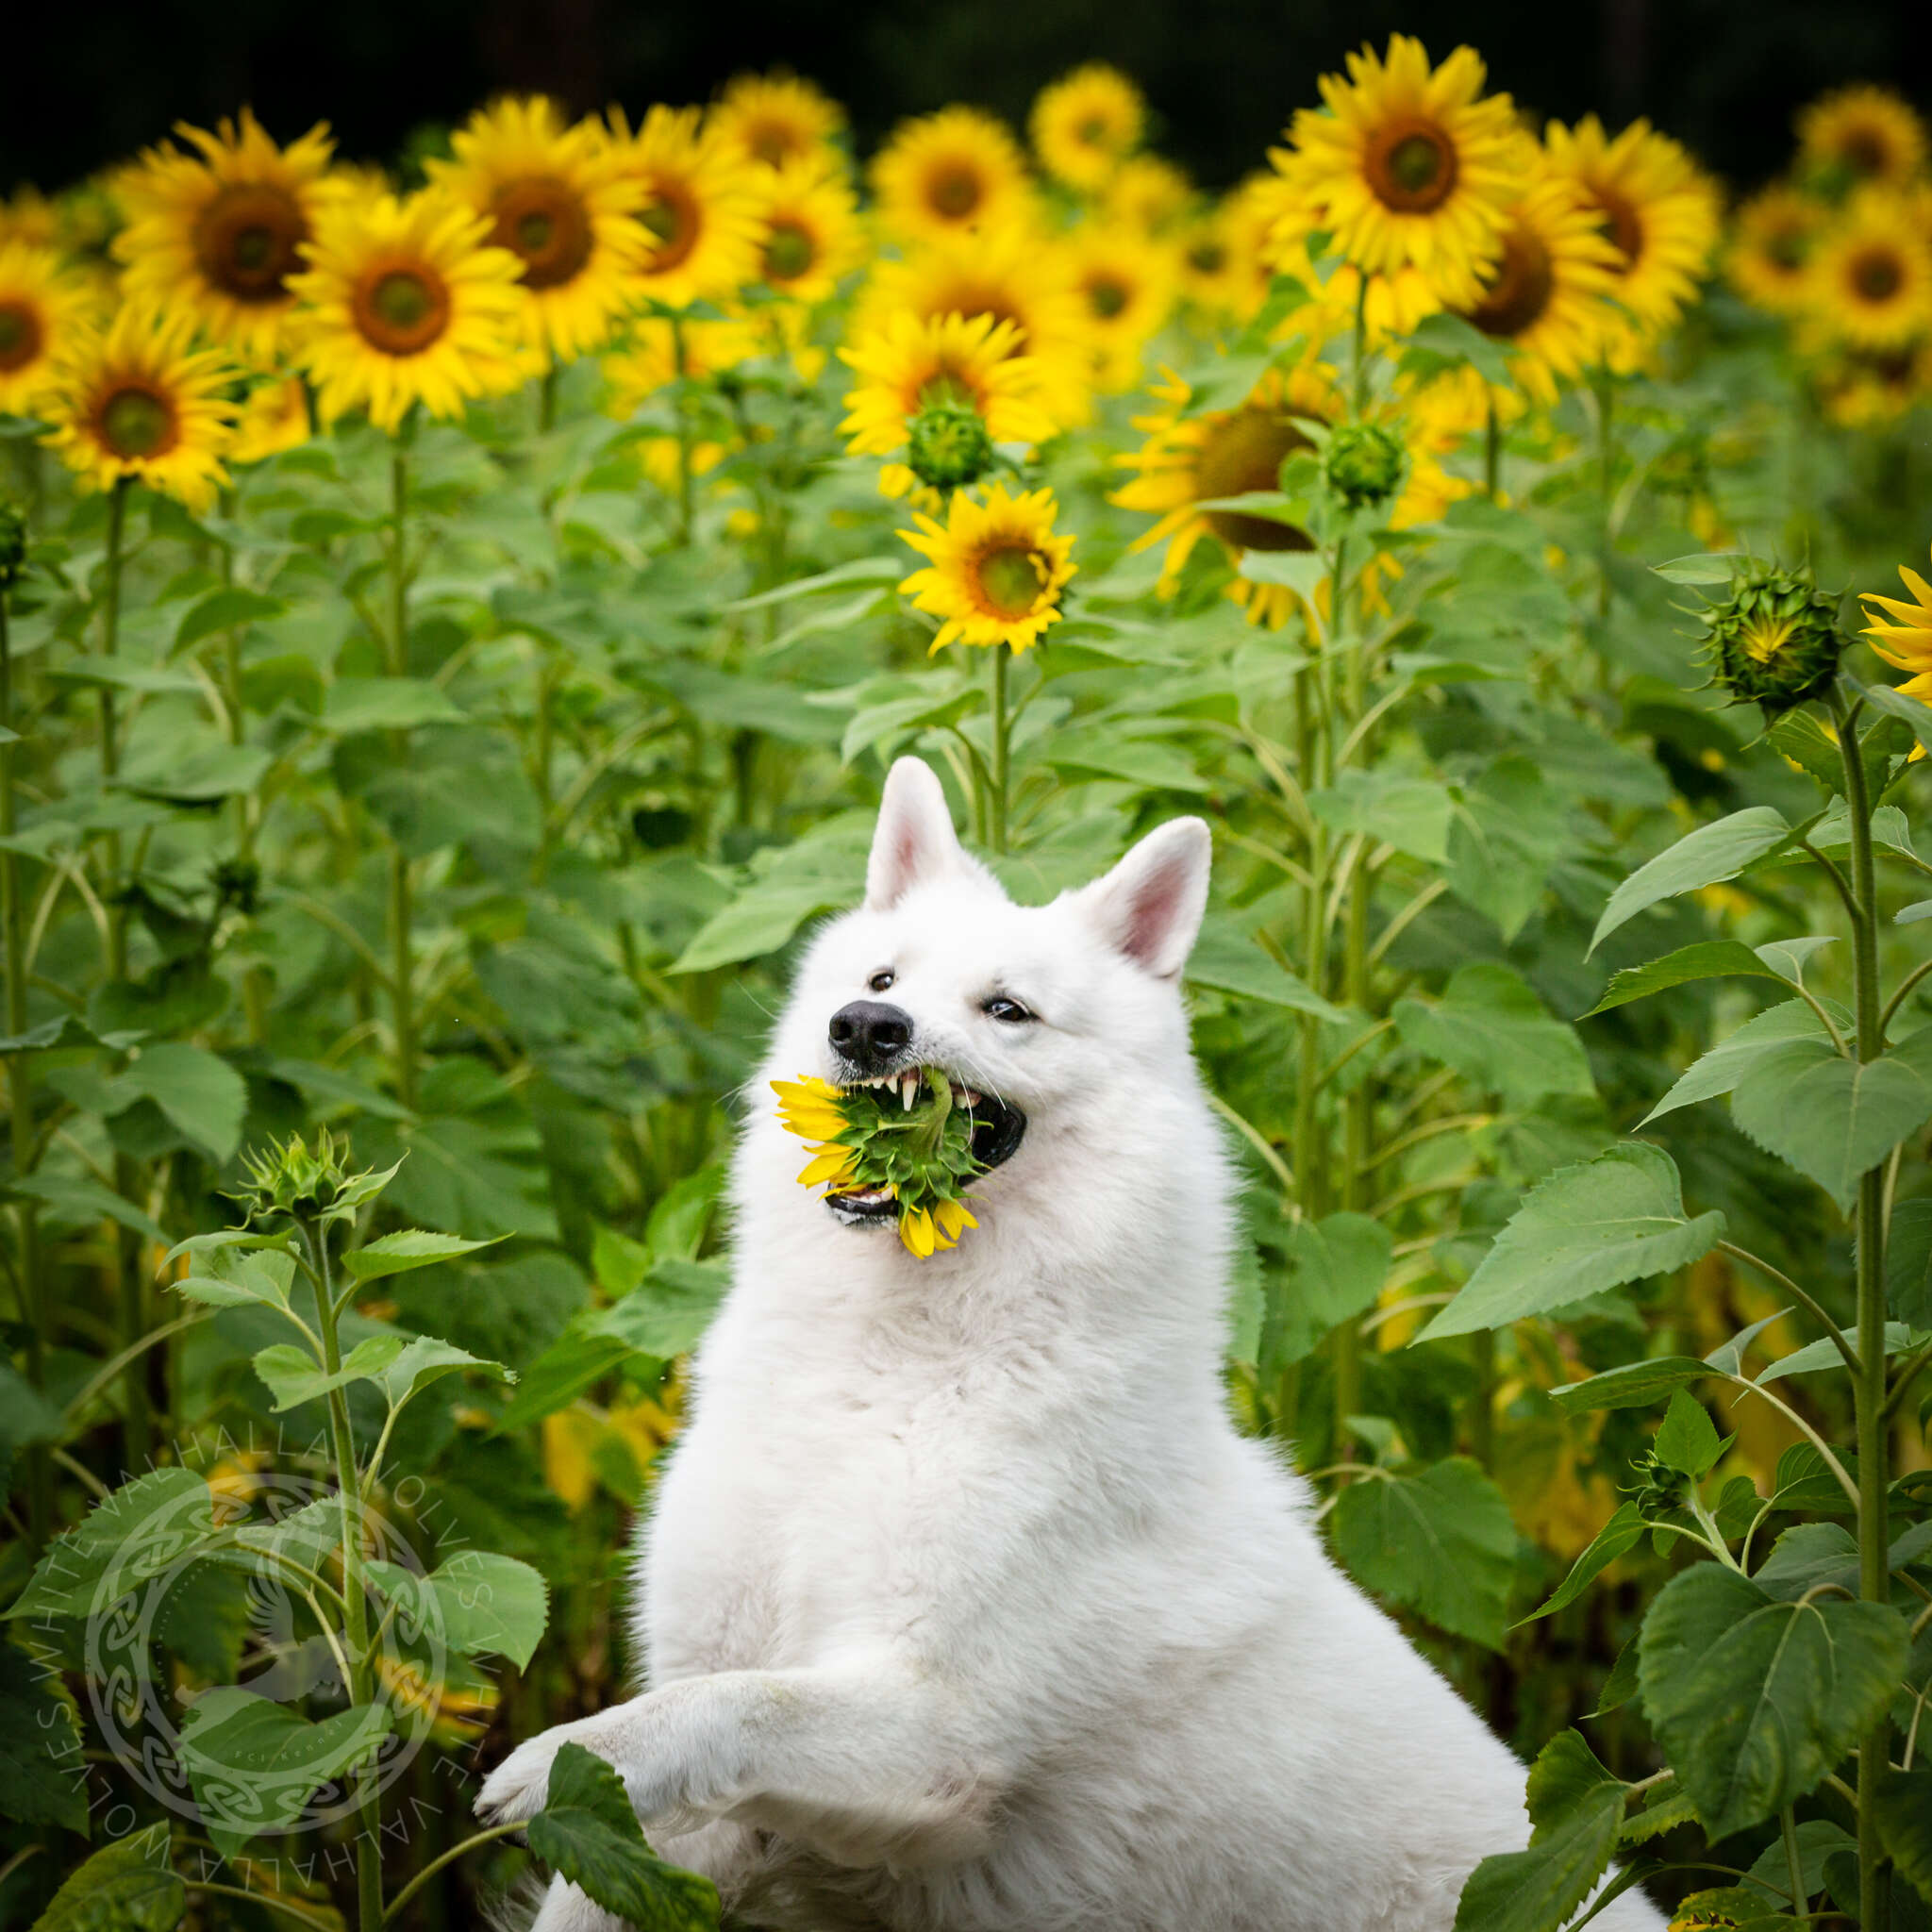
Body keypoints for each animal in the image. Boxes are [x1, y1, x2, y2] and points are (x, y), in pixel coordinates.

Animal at [478, 753, 1661, 1932]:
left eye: (1007, 1010)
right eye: (882, 976)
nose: (864, 1026)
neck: (894, 1373)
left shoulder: (934, 1732)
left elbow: (724, 1706)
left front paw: (558, 1756)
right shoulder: (701, 1777)